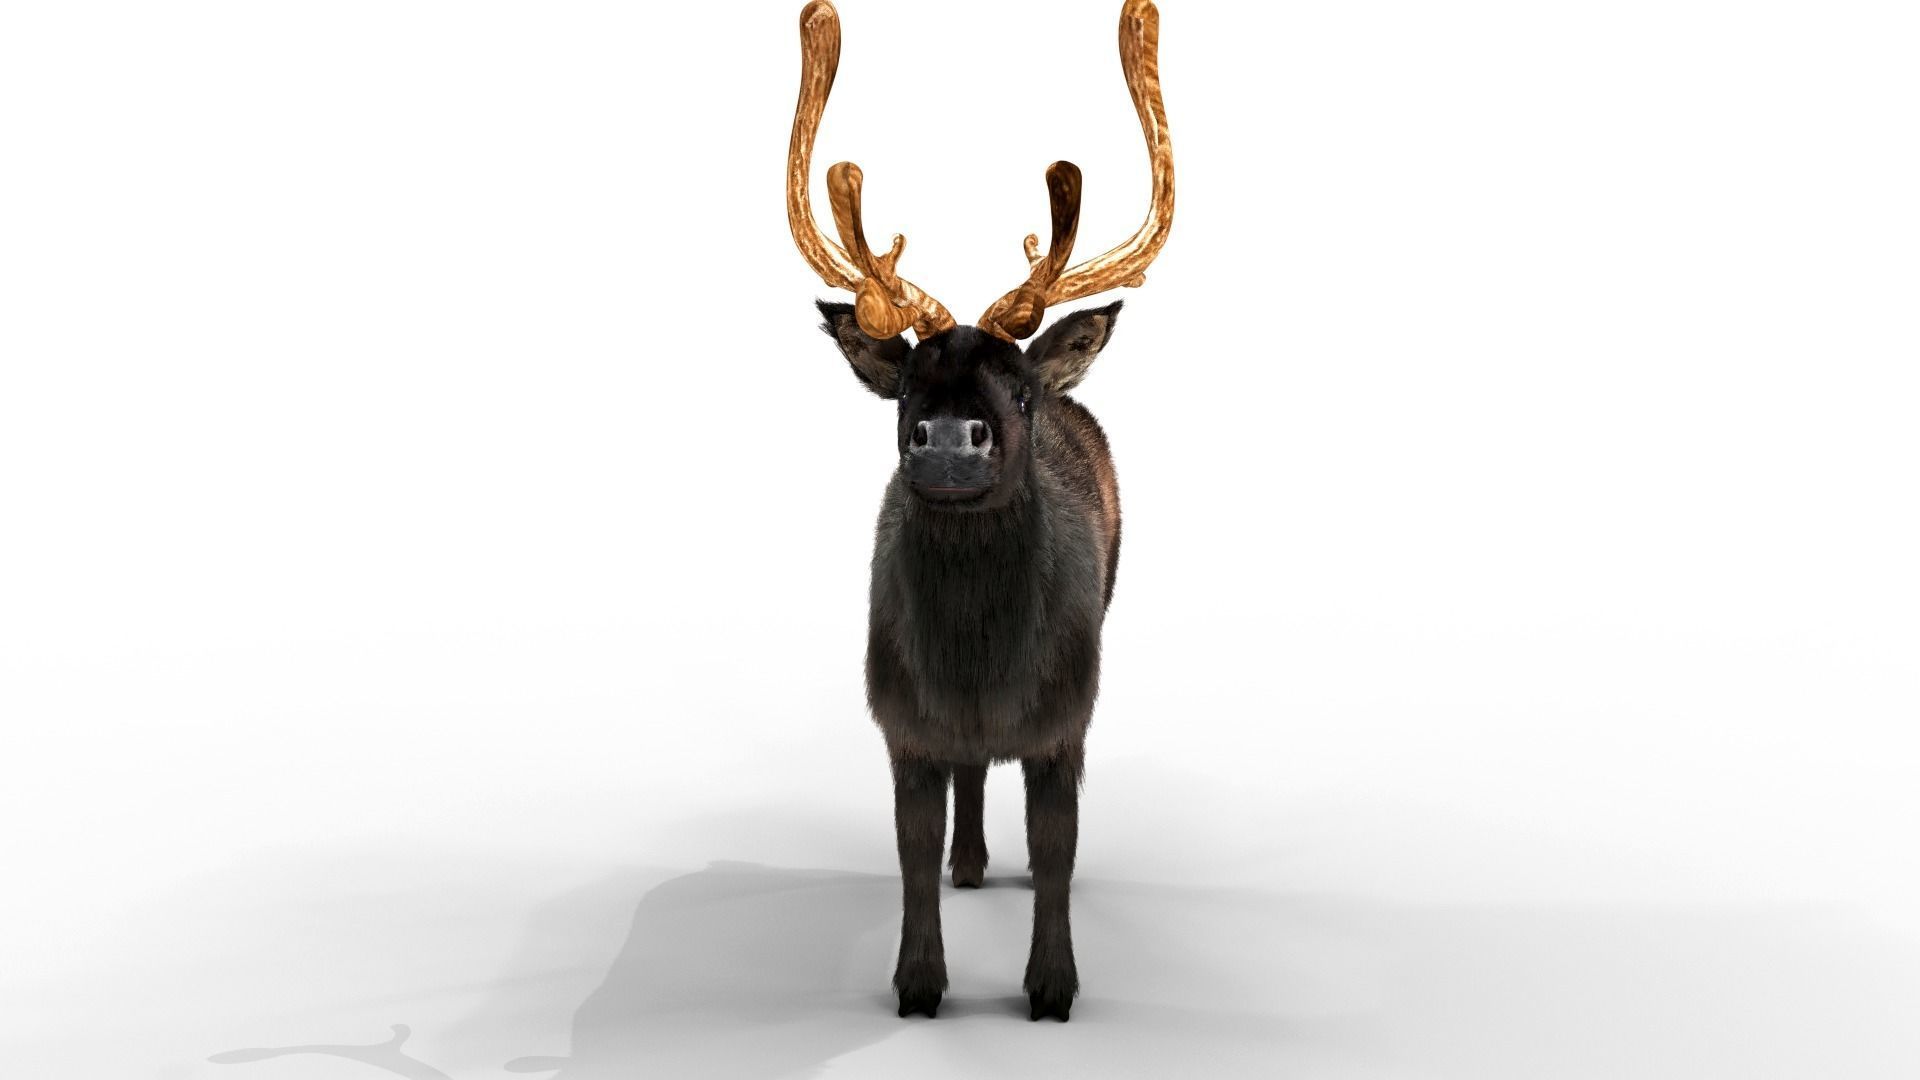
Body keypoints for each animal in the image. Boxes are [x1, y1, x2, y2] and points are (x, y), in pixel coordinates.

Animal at [786, 0, 1174, 1022]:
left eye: (1021, 391)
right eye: (904, 388)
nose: (951, 439)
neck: (980, 673)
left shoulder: (1067, 716)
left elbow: (1058, 855)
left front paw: (1052, 987)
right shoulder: (899, 717)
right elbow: (911, 856)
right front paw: (920, 983)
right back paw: (970, 862)